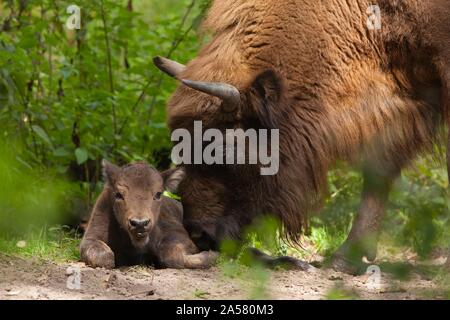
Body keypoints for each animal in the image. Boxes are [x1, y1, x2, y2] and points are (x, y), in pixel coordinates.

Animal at [80, 161, 219, 268]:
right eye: (118, 194)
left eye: (158, 194)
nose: (139, 224)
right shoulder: (91, 235)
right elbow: (104, 257)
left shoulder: (179, 235)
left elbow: (171, 255)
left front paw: (211, 255)